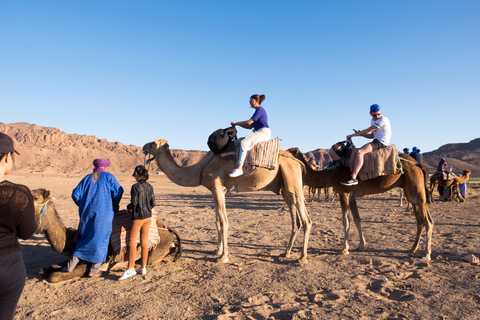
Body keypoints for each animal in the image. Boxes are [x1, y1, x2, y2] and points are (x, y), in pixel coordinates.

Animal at [142, 139, 312, 264]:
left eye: (152, 142)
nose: (143, 146)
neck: (199, 169)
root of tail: (297, 161)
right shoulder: (214, 191)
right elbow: (217, 220)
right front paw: (217, 250)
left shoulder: (218, 188)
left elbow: (224, 222)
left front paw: (223, 257)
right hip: (284, 186)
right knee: (295, 219)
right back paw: (286, 253)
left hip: (292, 177)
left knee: (306, 220)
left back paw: (302, 257)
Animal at [284, 148, 436, 260]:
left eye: (289, 152)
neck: (331, 173)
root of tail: (419, 165)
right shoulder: (351, 196)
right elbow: (357, 219)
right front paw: (362, 246)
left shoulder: (344, 192)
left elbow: (346, 221)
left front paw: (345, 249)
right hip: (408, 189)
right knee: (420, 220)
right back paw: (412, 248)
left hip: (416, 189)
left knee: (428, 220)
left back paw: (426, 254)